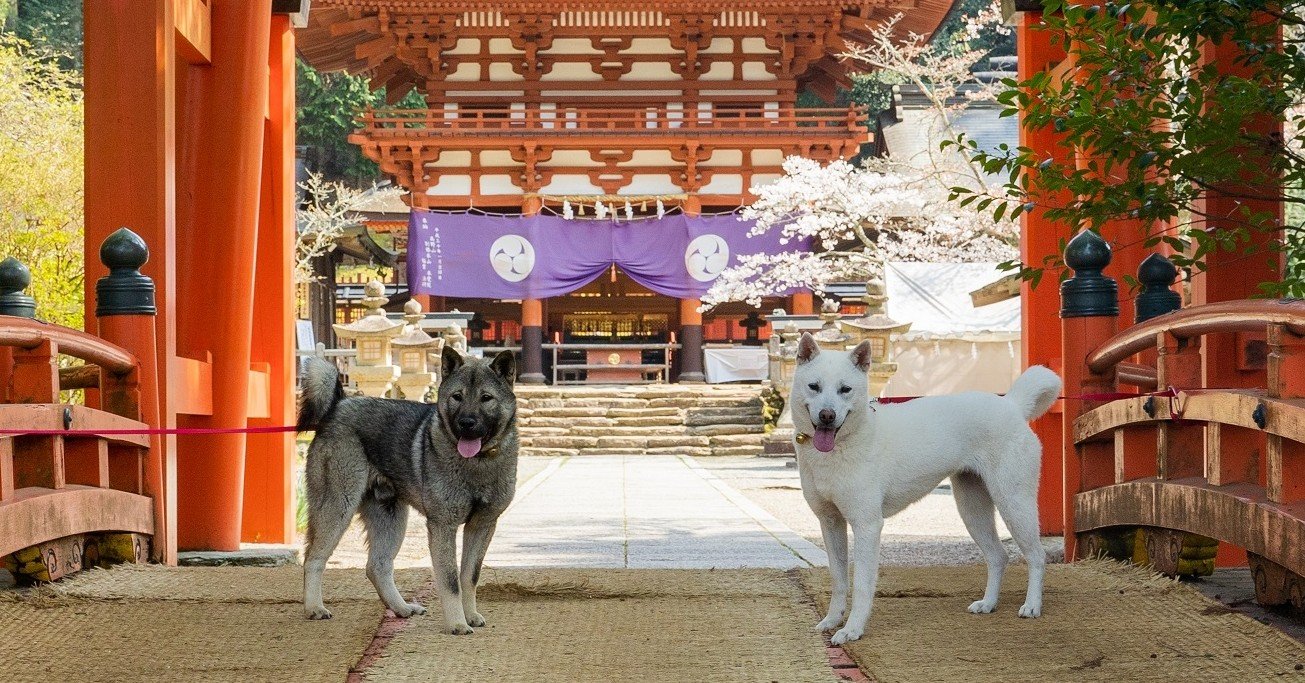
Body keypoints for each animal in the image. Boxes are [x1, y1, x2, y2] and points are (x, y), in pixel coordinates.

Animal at [297, 347, 519, 637]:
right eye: (457, 397)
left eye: (486, 398)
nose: (466, 422)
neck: (477, 463)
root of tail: (339, 405)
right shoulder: (442, 526)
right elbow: (450, 581)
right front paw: (457, 623)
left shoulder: (481, 526)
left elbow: (469, 576)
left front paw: (470, 615)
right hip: (338, 508)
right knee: (313, 558)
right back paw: (314, 607)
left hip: (390, 517)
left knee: (377, 567)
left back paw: (401, 608)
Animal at [793, 334, 1059, 645]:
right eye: (814, 386)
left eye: (845, 389)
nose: (827, 415)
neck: (842, 445)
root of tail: (1012, 405)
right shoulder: (830, 523)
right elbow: (838, 580)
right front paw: (833, 620)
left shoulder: (867, 526)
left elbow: (860, 584)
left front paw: (852, 629)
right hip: (972, 509)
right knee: (998, 556)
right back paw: (988, 603)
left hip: (1014, 502)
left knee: (1037, 556)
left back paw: (1032, 605)